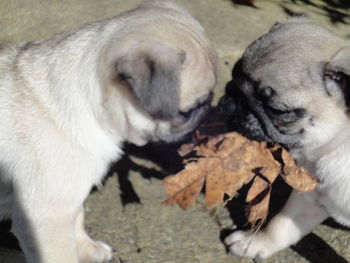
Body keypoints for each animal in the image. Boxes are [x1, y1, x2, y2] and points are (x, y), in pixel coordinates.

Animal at [0, 1, 219, 262]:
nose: (210, 109)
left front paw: (87, 248)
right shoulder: (47, 217)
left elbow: (78, 218)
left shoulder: (71, 200)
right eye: (187, 112)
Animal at [219, 18, 350, 260]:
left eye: (276, 110)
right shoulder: (311, 197)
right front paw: (255, 243)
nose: (232, 98)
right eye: (232, 74)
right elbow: (282, 225)